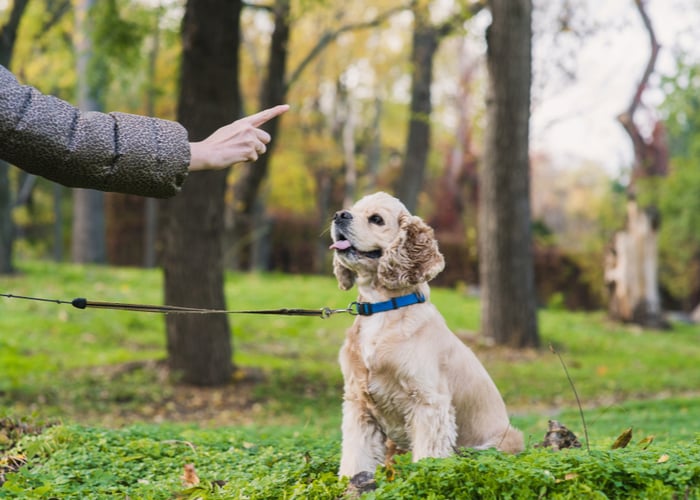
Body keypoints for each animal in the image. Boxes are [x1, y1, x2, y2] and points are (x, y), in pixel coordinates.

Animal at [330, 190, 524, 476]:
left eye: (376, 219)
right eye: (352, 209)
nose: (339, 215)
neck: (382, 308)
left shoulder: (429, 402)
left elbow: (428, 456)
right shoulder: (358, 403)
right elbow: (356, 455)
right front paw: (352, 481)